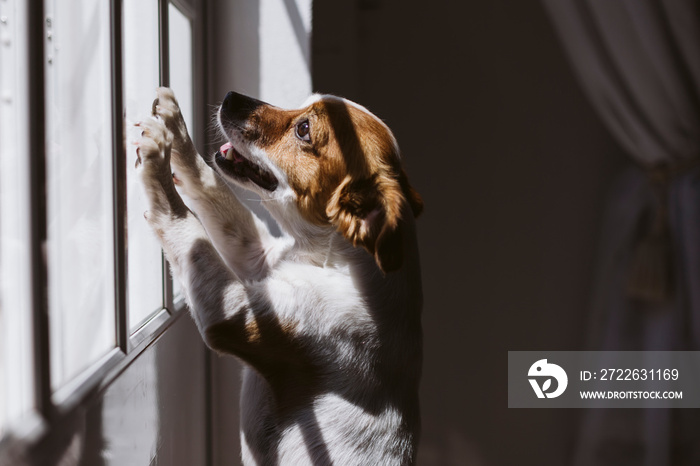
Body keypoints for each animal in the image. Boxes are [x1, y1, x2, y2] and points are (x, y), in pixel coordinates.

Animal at [135, 88, 424, 466]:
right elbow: (214, 191)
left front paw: (157, 157)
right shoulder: (257, 257)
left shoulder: (232, 312)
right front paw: (176, 130)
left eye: (304, 129)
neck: (333, 260)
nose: (231, 96)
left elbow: (185, 225)